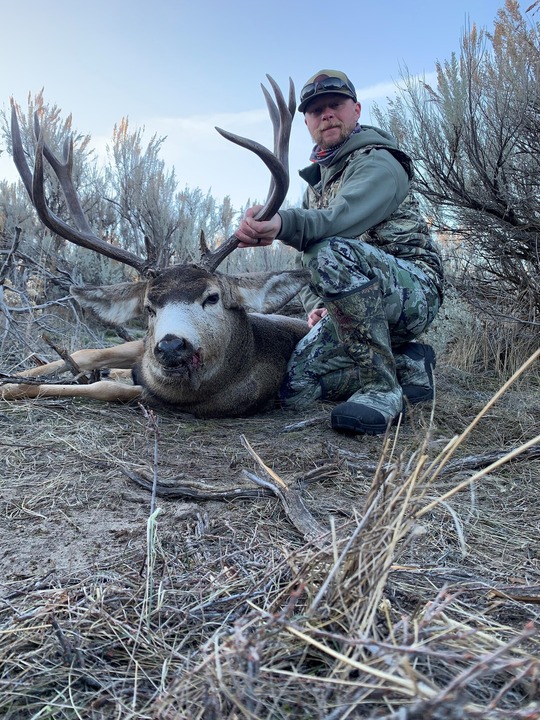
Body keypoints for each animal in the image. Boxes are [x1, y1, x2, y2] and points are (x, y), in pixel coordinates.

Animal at [1, 77, 311, 418]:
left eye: (212, 297)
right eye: (149, 307)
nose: (171, 344)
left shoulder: (162, 397)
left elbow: (107, 388)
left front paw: (13, 388)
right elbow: (90, 358)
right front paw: (12, 384)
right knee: (89, 353)